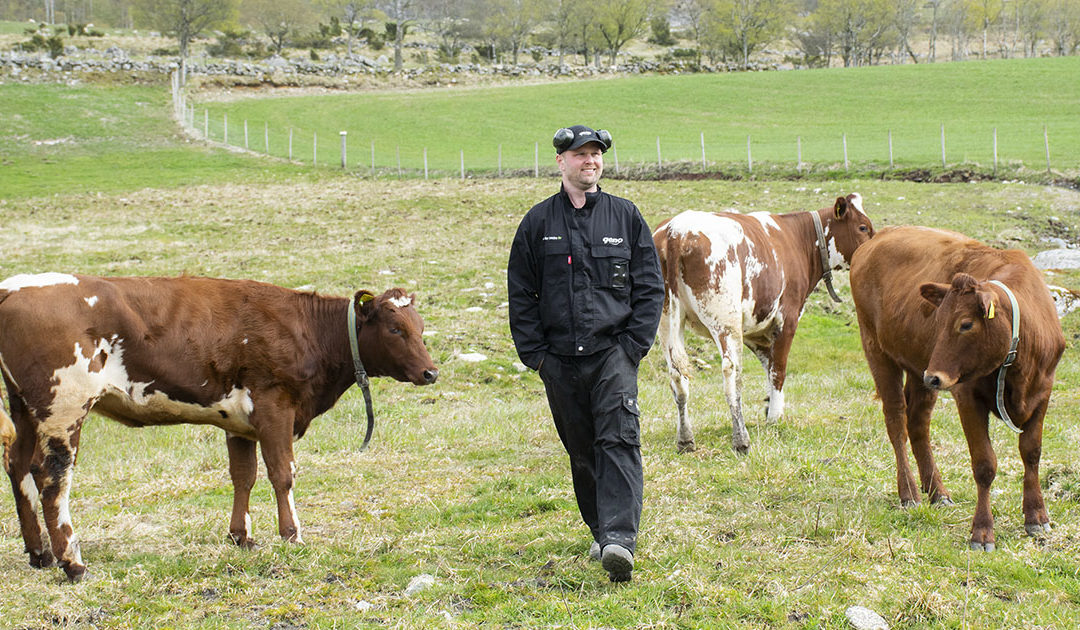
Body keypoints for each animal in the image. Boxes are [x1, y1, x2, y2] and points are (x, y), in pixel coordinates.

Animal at [1, 272, 438, 583]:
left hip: (23, 409)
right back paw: (72, 562)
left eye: (419, 327)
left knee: (18, 465)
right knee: (52, 477)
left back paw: (39, 554)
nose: (431, 372)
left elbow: (243, 476)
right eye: (395, 329)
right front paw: (292, 535)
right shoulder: (275, 407)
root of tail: (13, 287)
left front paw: (240, 536)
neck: (306, 330)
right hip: (64, 408)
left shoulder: (240, 422)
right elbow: (282, 474)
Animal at [648, 192, 876, 453]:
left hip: (667, 321)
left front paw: (770, 406)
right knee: (731, 373)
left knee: (677, 376)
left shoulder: (757, 332)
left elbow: (769, 367)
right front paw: (775, 418)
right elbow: (778, 370)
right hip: (725, 320)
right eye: (863, 227)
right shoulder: (787, 318)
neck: (799, 239)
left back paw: (685, 439)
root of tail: (676, 230)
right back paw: (741, 439)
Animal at [851, 228, 1062, 553]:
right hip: (878, 349)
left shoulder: (1042, 394)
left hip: (918, 369)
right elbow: (985, 464)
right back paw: (909, 493)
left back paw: (937, 492)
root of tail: (881, 234)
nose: (935, 376)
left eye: (966, 324)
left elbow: (1032, 453)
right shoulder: (968, 397)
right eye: (938, 322)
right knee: (896, 420)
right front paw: (982, 532)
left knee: (918, 422)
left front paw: (1036, 517)